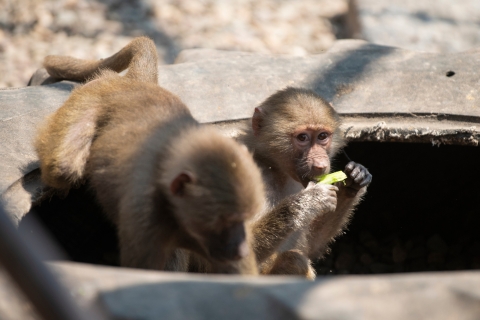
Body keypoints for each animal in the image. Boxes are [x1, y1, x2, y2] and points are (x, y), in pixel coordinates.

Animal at [34, 36, 266, 274]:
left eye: (244, 219)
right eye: (225, 221)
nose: (240, 249)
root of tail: (137, 84)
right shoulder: (144, 218)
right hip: (95, 92)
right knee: (64, 168)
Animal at [239, 86, 372, 278]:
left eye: (322, 136)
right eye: (302, 138)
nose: (321, 165)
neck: (274, 168)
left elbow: (312, 247)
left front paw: (354, 181)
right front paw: (307, 202)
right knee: (295, 261)